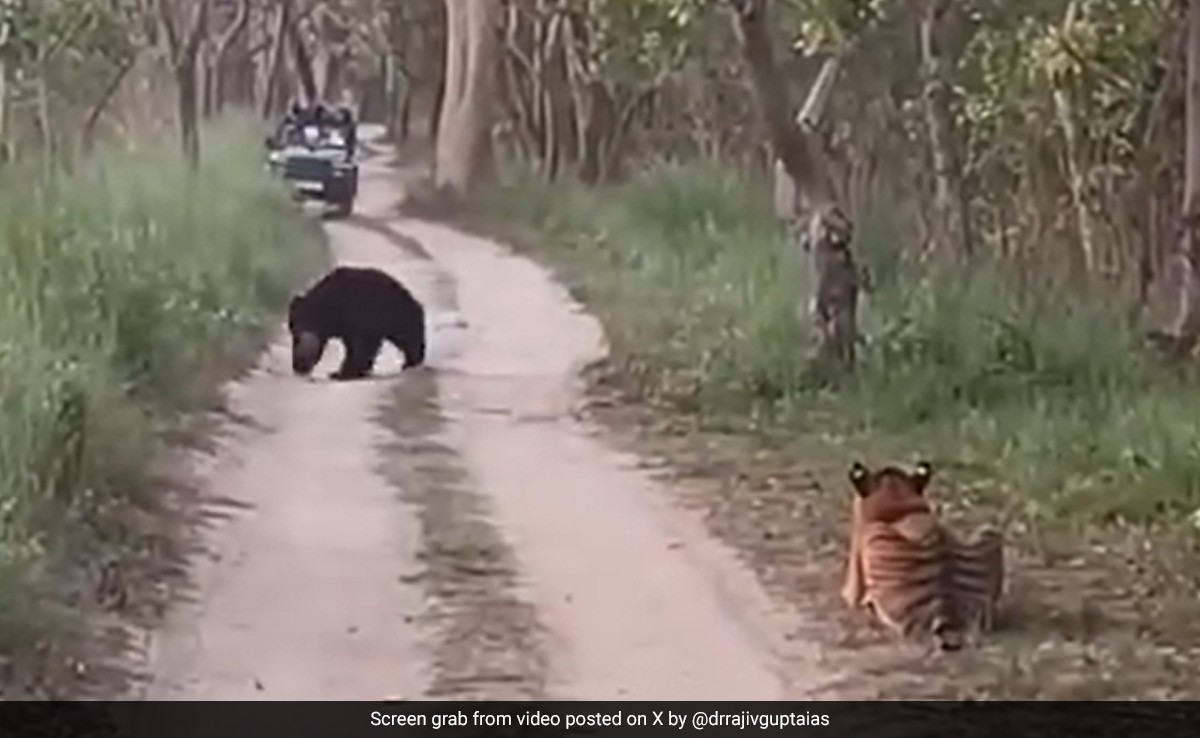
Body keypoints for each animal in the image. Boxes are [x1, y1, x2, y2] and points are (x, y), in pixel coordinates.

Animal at [287, 265, 426, 381]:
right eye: (294, 334)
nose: (298, 367)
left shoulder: (358, 312)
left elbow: (360, 346)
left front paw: (342, 373)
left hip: (398, 313)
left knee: (409, 334)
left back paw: (411, 361)